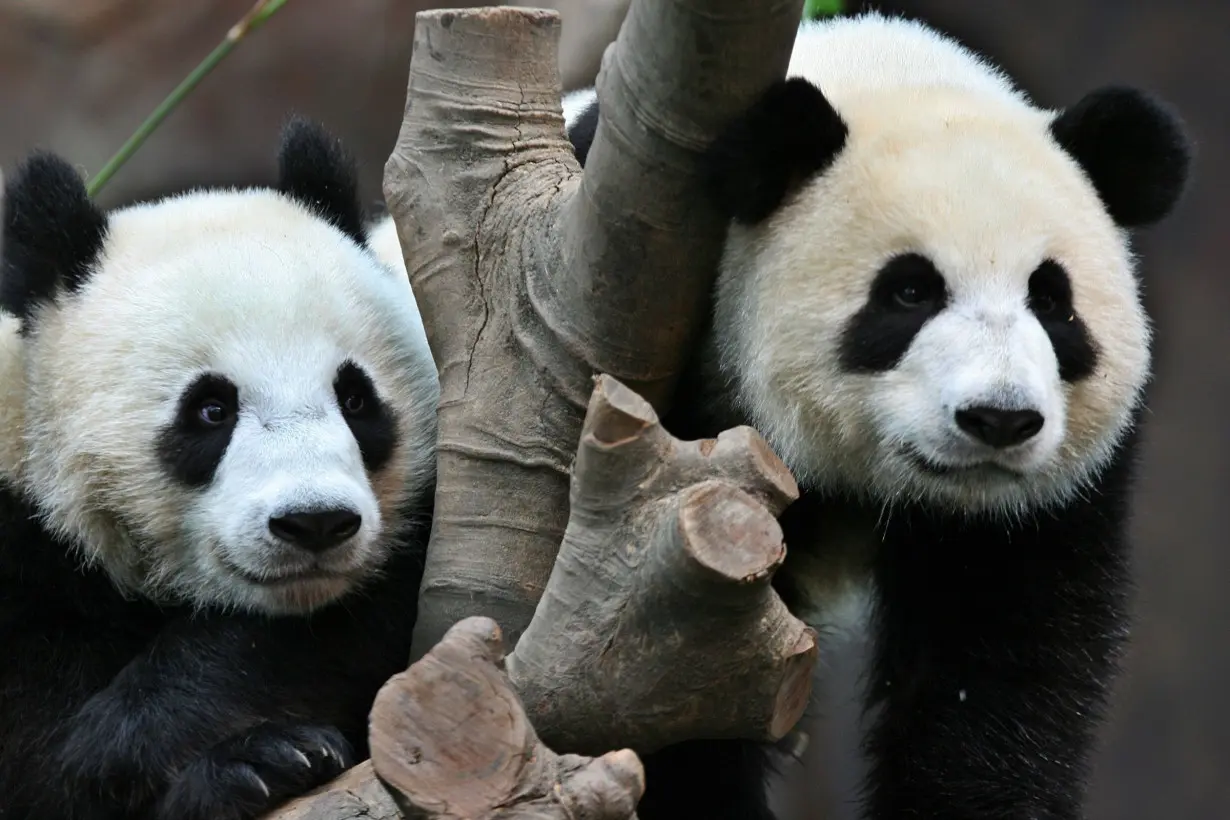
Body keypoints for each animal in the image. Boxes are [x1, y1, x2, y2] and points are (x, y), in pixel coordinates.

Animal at [0, 116, 440, 820]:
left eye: (355, 398)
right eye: (210, 409)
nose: (315, 523)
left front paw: (143, 733)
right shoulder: (22, 552)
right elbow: (36, 774)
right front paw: (252, 764)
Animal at [563, 11, 1190, 820]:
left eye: (1052, 301)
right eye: (910, 292)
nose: (999, 419)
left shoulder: (1040, 508)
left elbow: (997, 670)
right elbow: (674, 676)